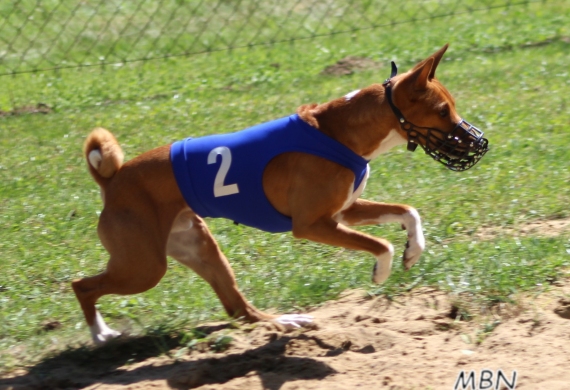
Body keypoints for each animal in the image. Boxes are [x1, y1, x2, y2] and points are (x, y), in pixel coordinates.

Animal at [73, 44, 486, 342]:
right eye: (443, 111)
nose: (480, 142)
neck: (338, 132)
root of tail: (113, 179)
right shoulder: (312, 224)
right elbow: (380, 245)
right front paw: (381, 273)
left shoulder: (343, 213)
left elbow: (407, 210)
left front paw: (413, 250)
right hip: (144, 267)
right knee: (82, 286)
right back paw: (102, 335)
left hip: (198, 247)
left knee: (240, 310)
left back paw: (287, 322)